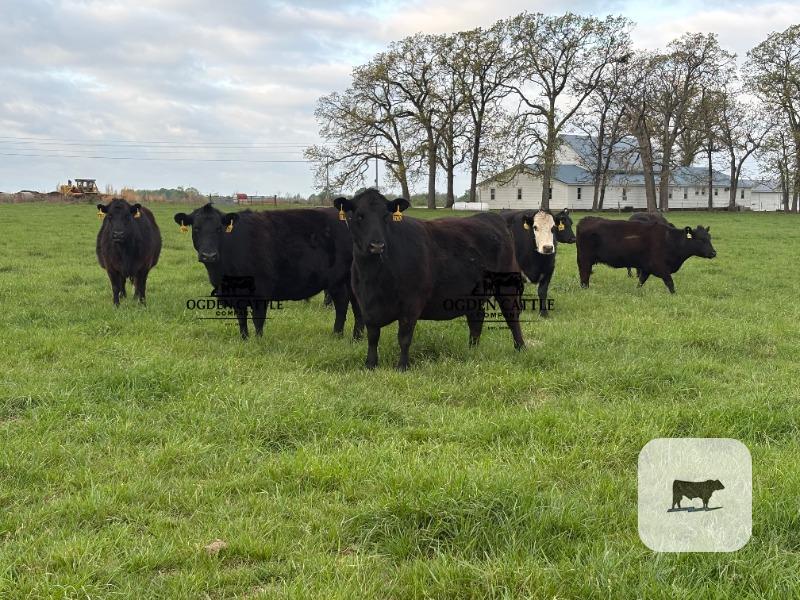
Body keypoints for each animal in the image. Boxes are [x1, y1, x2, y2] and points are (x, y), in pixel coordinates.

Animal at [173, 203, 362, 340]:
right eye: (196, 228)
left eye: (219, 229)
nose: (209, 255)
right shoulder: (236, 294)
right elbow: (241, 318)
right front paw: (244, 339)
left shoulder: (261, 289)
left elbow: (258, 319)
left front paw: (258, 341)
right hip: (337, 281)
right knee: (342, 303)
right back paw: (337, 334)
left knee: (355, 305)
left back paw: (356, 337)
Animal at [334, 189, 525, 371]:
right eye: (359, 216)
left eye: (386, 216)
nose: (377, 246)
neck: (374, 277)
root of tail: (492, 218)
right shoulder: (366, 305)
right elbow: (373, 336)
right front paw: (370, 364)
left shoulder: (411, 304)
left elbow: (404, 337)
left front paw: (402, 366)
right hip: (474, 295)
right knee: (476, 320)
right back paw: (472, 351)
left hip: (507, 286)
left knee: (512, 317)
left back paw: (520, 348)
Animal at [576, 217, 716, 293]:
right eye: (701, 240)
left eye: (709, 238)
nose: (714, 253)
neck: (670, 240)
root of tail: (586, 219)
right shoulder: (660, 266)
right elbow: (670, 283)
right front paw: (675, 295)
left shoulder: (646, 268)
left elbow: (640, 282)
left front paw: (636, 291)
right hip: (585, 259)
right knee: (584, 275)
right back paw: (585, 289)